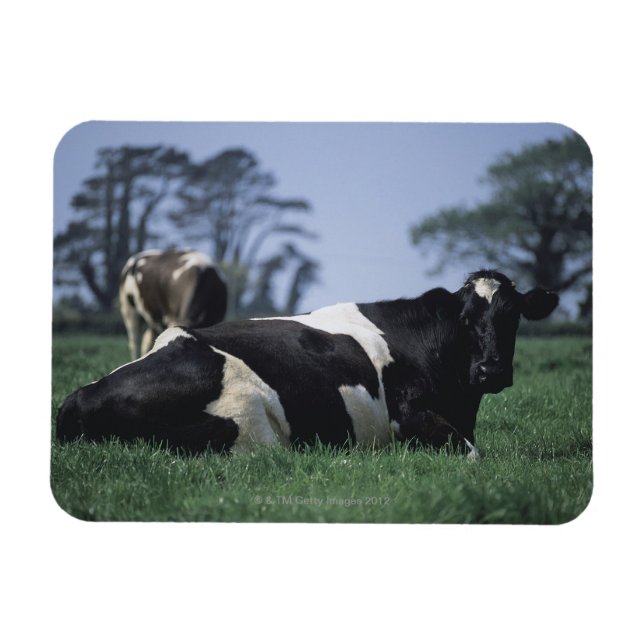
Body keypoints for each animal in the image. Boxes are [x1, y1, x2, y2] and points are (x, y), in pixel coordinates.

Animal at [57, 270, 558, 457]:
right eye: (466, 318)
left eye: (512, 316)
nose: (492, 370)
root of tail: (80, 395)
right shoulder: (407, 417)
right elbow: (472, 453)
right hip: (251, 426)